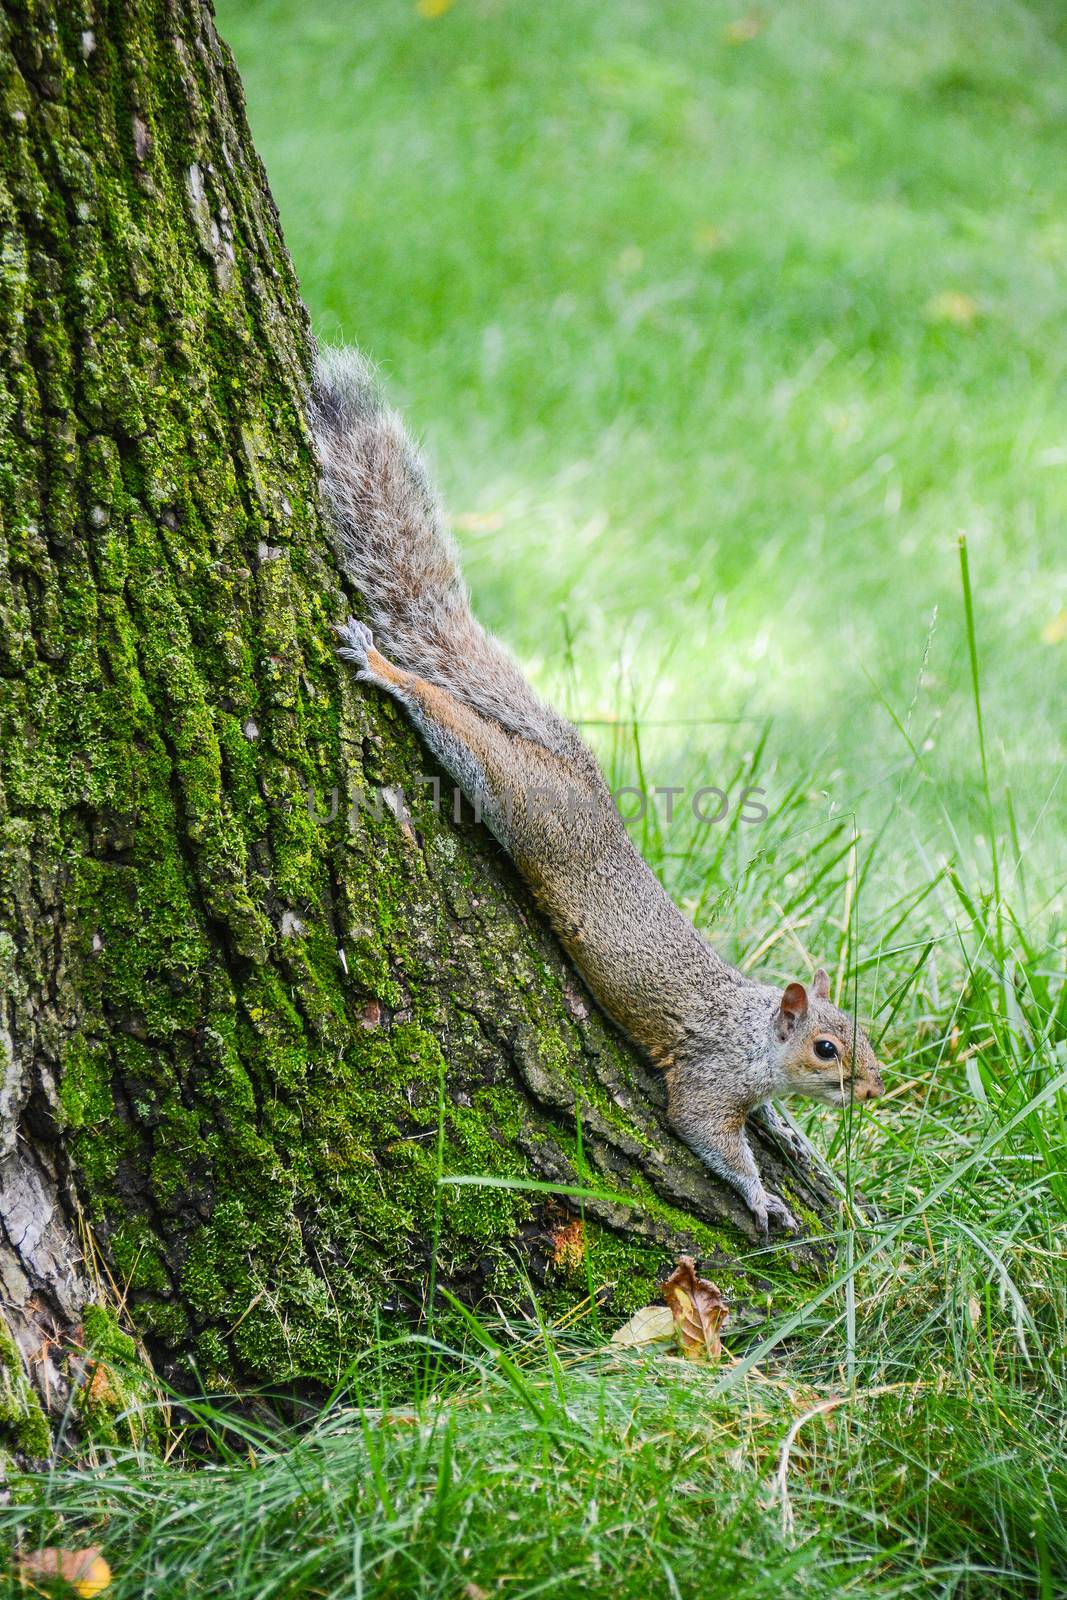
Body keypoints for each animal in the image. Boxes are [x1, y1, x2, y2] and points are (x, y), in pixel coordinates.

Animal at [310, 347, 883, 1235]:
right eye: (825, 1048)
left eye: (857, 1031)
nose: (873, 1089)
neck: (755, 1033)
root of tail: (577, 775)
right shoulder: (708, 1074)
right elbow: (704, 1131)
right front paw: (760, 1194)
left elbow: (761, 1117)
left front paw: (788, 1132)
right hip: (518, 796)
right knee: (464, 737)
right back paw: (388, 673)